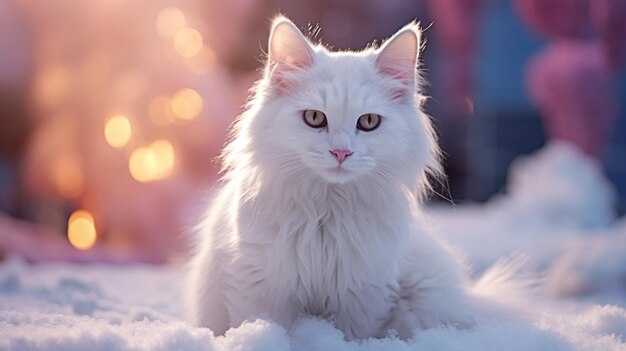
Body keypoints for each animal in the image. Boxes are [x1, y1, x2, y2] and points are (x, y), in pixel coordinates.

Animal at [186, 15, 532, 340]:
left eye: (368, 122)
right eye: (315, 118)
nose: (341, 152)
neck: (327, 213)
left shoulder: (362, 293)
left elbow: (349, 336)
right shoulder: (262, 285)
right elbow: (269, 327)